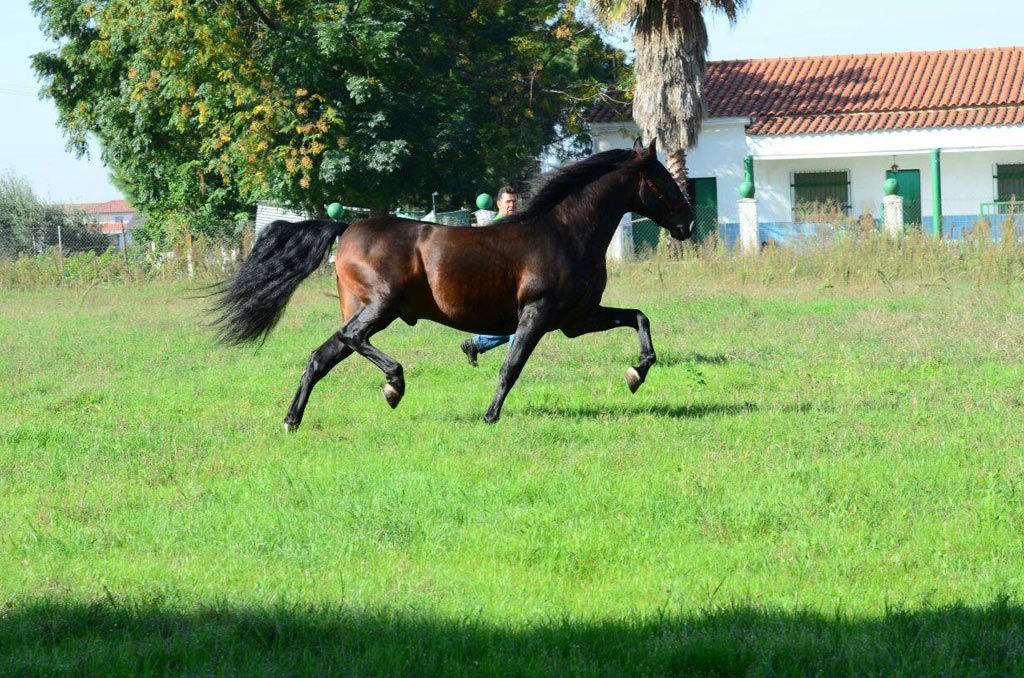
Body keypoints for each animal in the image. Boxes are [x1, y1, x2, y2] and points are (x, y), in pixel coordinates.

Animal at [215, 137, 696, 430]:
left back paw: (291, 421)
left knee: (320, 356)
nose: (689, 223)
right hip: (380, 308)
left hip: (367, 310)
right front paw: (490, 416)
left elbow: (639, 318)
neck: (566, 232)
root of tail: (346, 226)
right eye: (663, 180)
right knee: (350, 339)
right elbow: (511, 366)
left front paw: (636, 373)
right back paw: (393, 385)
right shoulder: (537, 313)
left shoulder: (578, 318)